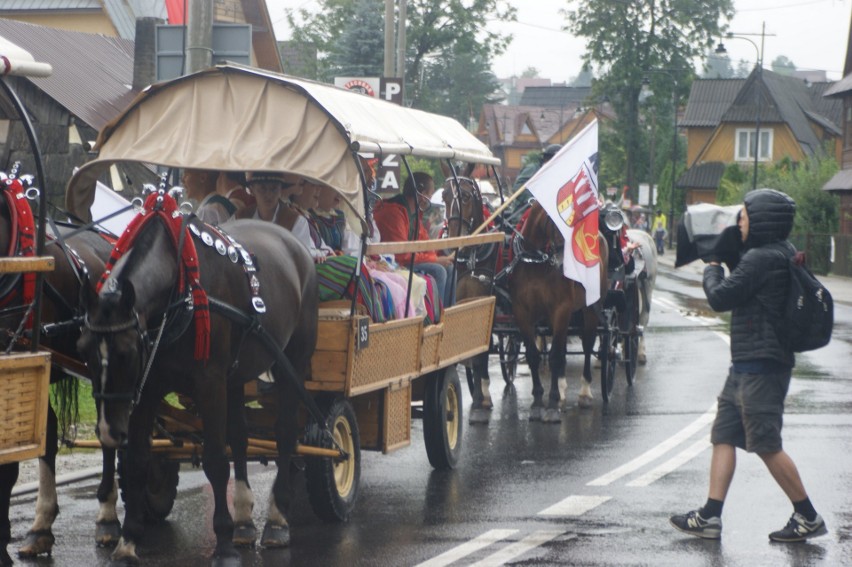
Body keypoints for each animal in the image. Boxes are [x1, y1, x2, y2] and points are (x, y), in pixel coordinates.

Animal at [75, 192, 316, 567]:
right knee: (241, 436)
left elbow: (216, 459)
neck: (178, 290)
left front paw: (224, 544)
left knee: (286, 434)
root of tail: (297, 246)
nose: (107, 432)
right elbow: (137, 460)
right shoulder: (148, 387)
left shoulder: (209, 382)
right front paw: (128, 540)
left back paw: (276, 519)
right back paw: (245, 521)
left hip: (293, 361)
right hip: (236, 375)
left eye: (126, 352)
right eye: (83, 348)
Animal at [506, 201, 604, 422]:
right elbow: (534, 355)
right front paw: (537, 403)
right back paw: (562, 390)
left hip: (591, 309)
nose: (563, 262)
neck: (535, 263)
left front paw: (551, 405)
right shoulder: (522, 312)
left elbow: (554, 357)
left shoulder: (561, 309)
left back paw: (585, 392)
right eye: (554, 219)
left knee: (587, 345)